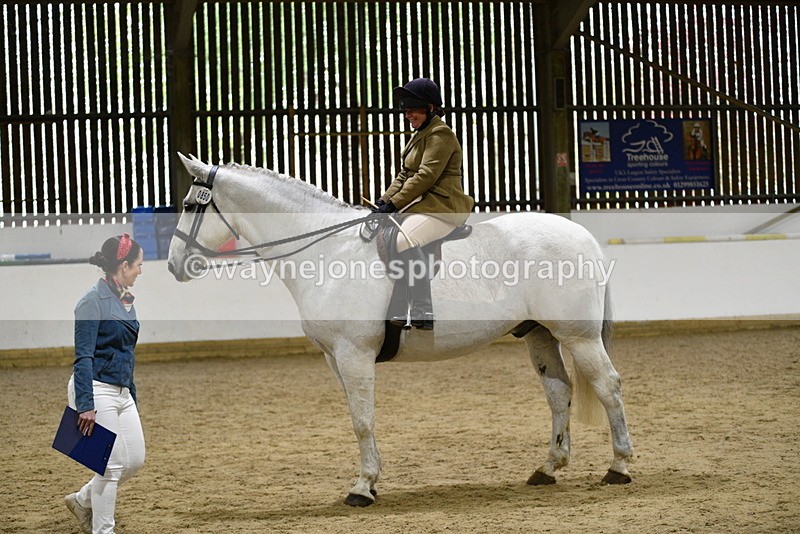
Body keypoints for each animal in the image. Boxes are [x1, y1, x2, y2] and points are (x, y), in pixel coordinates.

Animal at [167, 153, 633, 507]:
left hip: (578, 336)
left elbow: (363, 420)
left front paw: (361, 488)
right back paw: (548, 468)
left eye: (190, 205)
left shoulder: (354, 354)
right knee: (558, 392)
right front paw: (369, 482)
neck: (326, 251)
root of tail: (581, 234)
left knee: (608, 387)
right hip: (539, 334)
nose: (174, 266)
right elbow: (357, 417)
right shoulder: (335, 358)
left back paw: (620, 466)